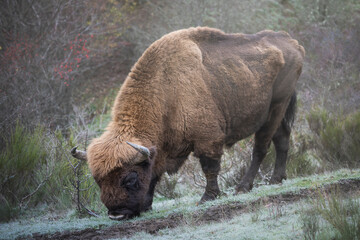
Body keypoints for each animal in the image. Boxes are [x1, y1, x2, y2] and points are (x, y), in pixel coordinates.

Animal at [70, 27, 304, 220]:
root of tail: (292, 42)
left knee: (261, 148)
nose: (116, 214)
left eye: (131, 178)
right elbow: (155, 175)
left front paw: (207, 198)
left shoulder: (208, 139)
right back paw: (276, 179)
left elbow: (210, 168)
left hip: (275, 109)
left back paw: (243, 187)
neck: (165, 91)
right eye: (98, 180)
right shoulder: (160, 151)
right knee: (282, 140)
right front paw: (147, 205)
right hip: (277, 113)